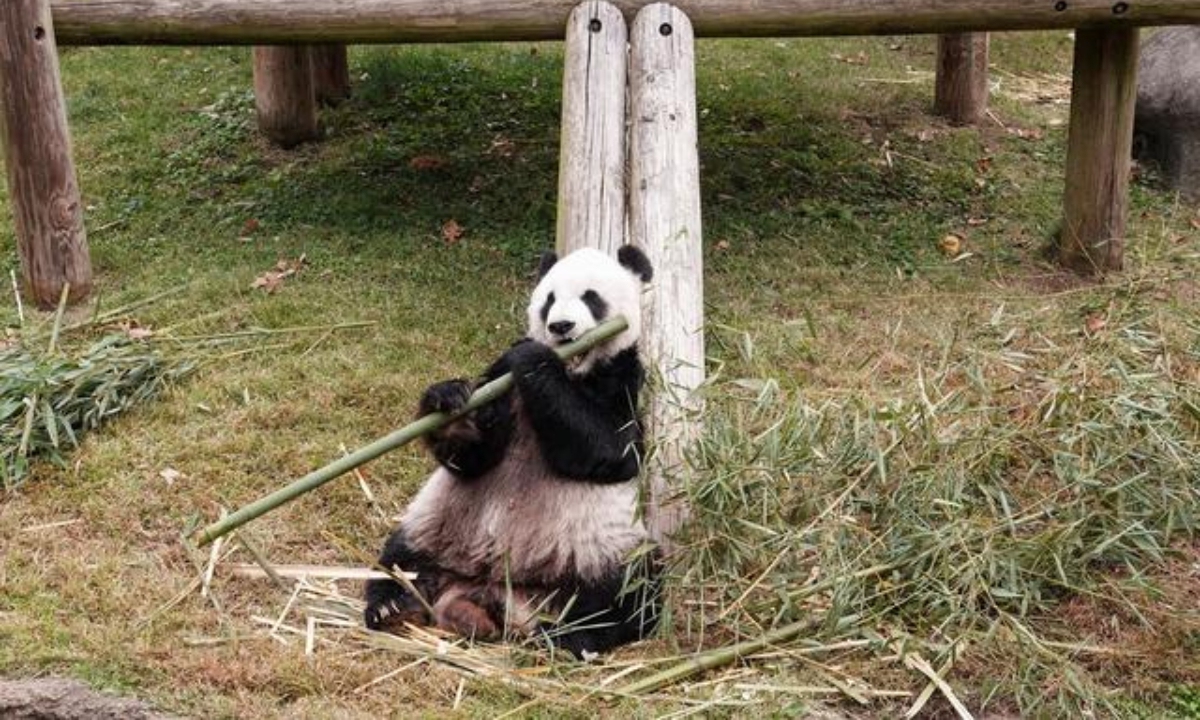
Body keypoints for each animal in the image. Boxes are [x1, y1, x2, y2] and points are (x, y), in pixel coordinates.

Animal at [367, 244, 667, 657]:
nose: (561, 327)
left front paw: (531, 357)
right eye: (549, 300)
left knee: (629, 593)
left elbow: (612, 450)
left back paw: (570, 636)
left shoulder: (622, 378)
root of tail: (494, 594)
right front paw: (450, 402)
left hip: (604, 549)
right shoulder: (500, 385)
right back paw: (395, 606)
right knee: (400, 558)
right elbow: (474, 457)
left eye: (591, 297)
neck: (571, 369)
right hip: (435, 528)